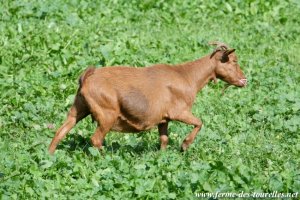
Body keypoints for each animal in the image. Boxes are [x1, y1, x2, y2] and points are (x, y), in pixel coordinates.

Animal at [48, 41, 246, 154]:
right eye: (233, 61)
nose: (244, 80)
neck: (187, 76)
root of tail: (88, 76)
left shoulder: (164, 119)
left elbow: (164, 139)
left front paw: (162, 157)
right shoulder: (179, 112)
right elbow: (199, 122)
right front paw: (184, 146)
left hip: (79, 108)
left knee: (62, 130)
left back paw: (49, 156)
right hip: (107, 114)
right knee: (96, 139)